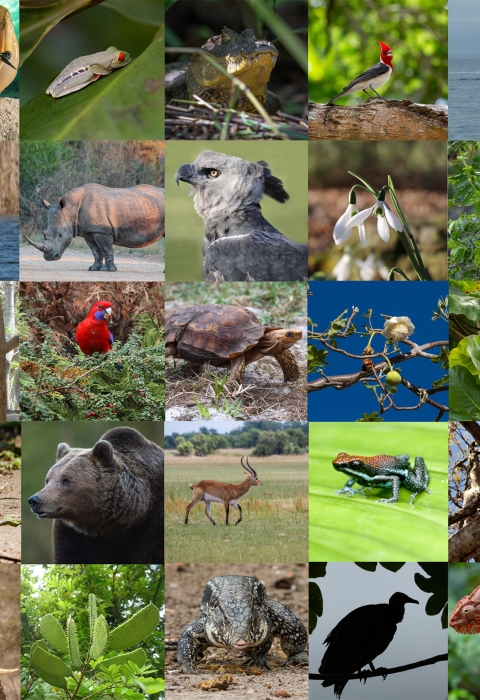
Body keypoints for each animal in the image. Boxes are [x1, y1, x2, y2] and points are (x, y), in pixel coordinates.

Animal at [23, 183, 165, 272]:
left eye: (60, 235)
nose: (49, 258)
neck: (71, 209)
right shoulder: (89, 232)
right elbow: (96, 251)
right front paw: (94, 268)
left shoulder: (102, 231)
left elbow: (106, 249)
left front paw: (109, 270)